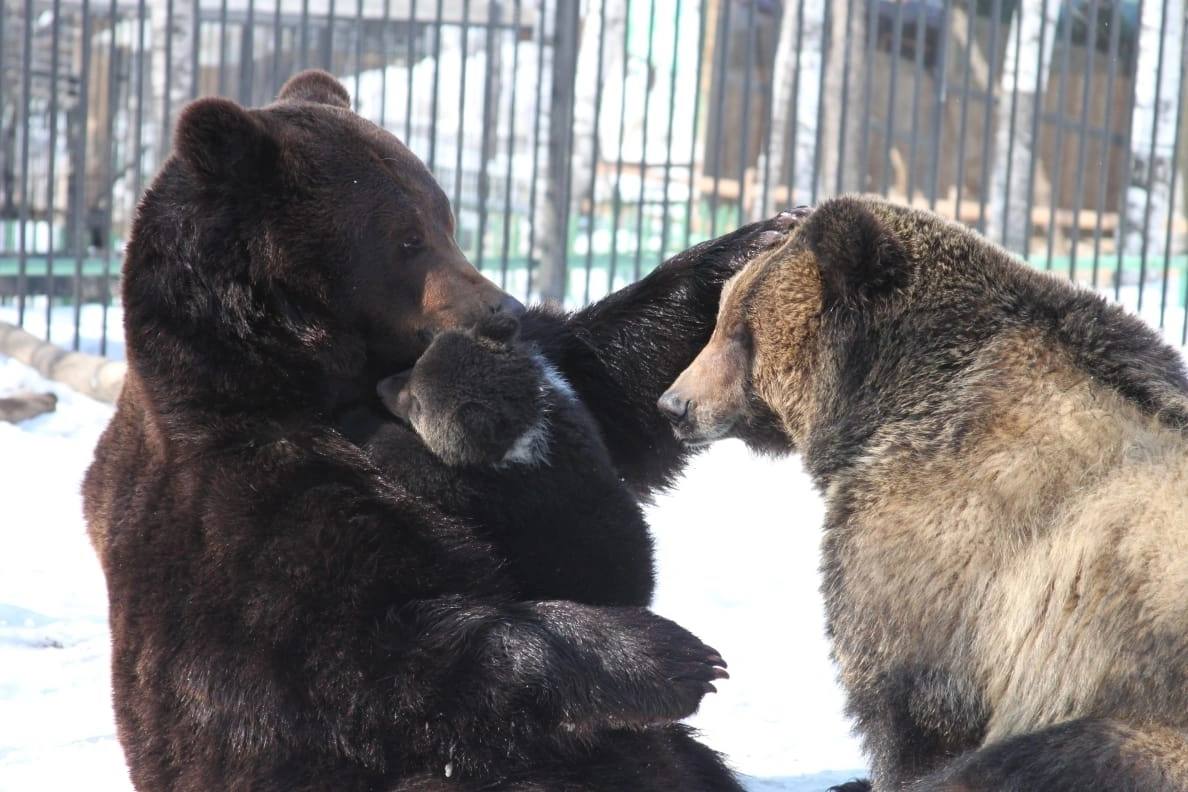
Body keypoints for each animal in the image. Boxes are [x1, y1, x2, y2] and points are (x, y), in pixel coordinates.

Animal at [81, 69, 798, 792]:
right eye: (405, 239)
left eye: (444, 217)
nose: (503, 308)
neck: (299, 372)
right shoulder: (246, 496)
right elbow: (368, 661)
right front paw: (669, 656)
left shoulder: (540, 375)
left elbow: (611, 380)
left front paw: (760, 238)